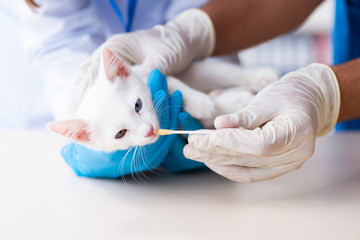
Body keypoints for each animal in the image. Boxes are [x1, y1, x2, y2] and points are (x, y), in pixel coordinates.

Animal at [48, 47, 278, 152]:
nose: (149, 130)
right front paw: (212, 107)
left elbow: (175, 84)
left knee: (226, 74)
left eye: (138, 105)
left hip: (199, 69)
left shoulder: (149, 73)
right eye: (120, 133)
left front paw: (203, 104)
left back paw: (260, 79)